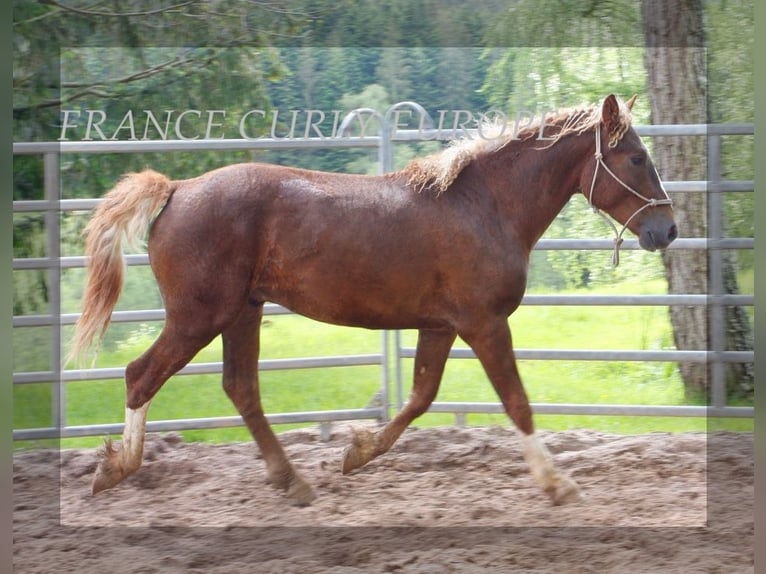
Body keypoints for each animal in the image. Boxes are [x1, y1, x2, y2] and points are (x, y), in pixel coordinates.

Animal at [69, 94, 676, 508]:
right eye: (636, 157)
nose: (666, 230)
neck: (484, 205)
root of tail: (176, 191)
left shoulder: (442, 325)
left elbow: (420, 398)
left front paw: (356, 452)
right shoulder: (484, 324)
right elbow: (516, 402)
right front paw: (558, 485)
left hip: (243, 312)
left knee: (240, 388)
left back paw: (292, 481)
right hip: (200, 316)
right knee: (141, 375)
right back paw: (115, 469)